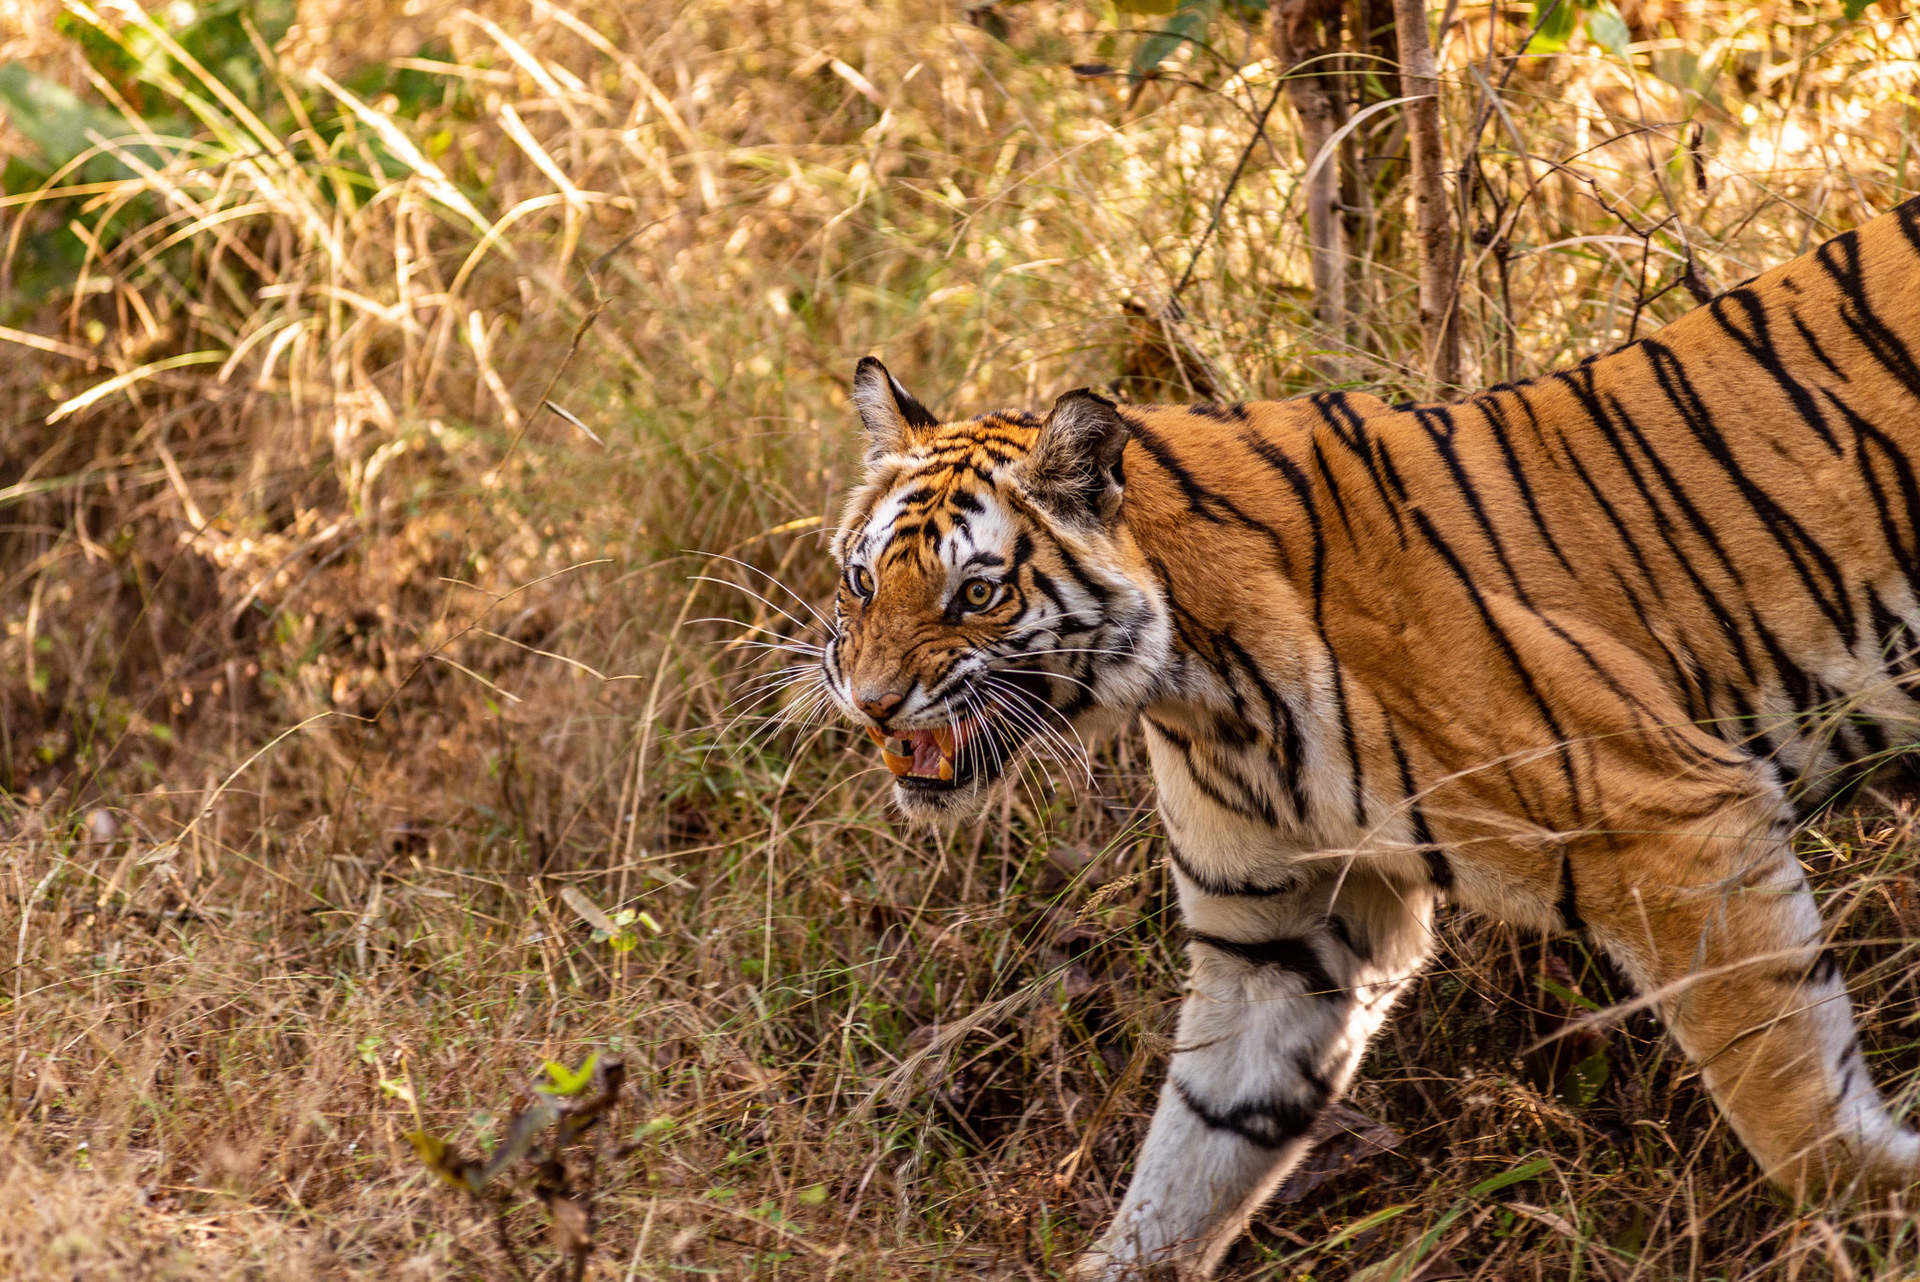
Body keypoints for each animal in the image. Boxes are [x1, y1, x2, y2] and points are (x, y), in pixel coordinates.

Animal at [820, 195, 1920, 1279]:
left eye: (977, 594)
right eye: (862, 581)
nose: (870, 703)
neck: (1202, 692)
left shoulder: (1677, 828)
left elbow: (1791, 1097)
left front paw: (1881, 1217)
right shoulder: (1279, 935)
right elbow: (1194, 1154)